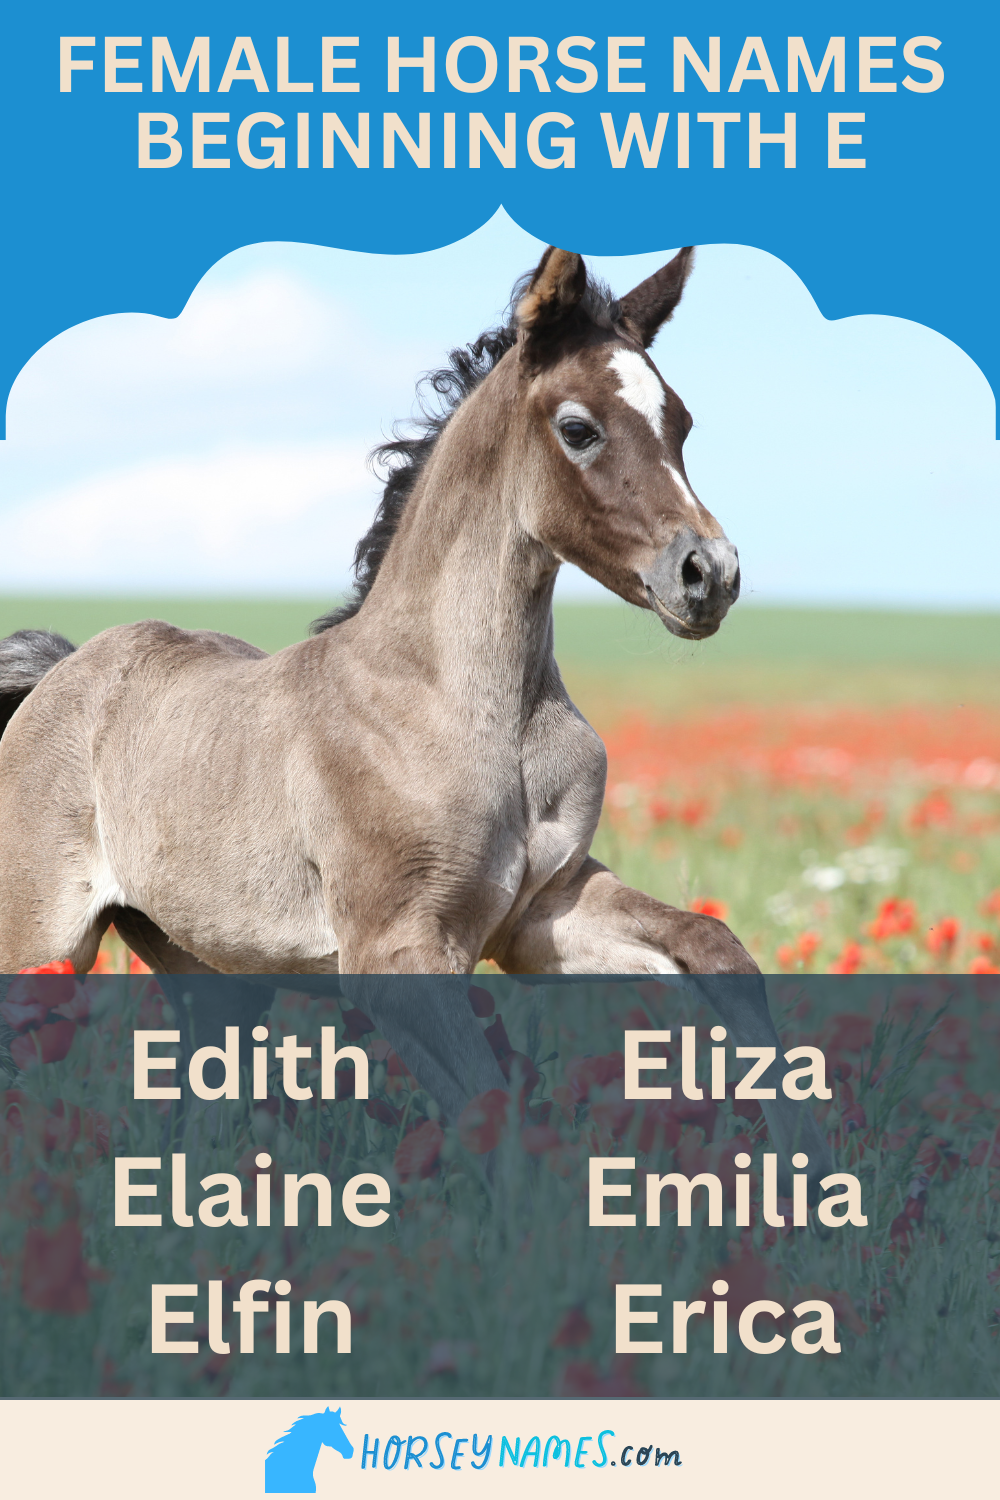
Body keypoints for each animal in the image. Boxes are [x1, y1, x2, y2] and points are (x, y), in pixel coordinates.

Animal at [0, 245, 831, 1189]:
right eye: (579, 429)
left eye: (682, 422)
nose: (708, 574)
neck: (468, 710)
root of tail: (59, 672)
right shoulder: (392, 954)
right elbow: (497, 1112)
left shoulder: (542, 918)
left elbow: (716, 948)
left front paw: (813, 1174)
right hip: (41, 946)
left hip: (216, 977)